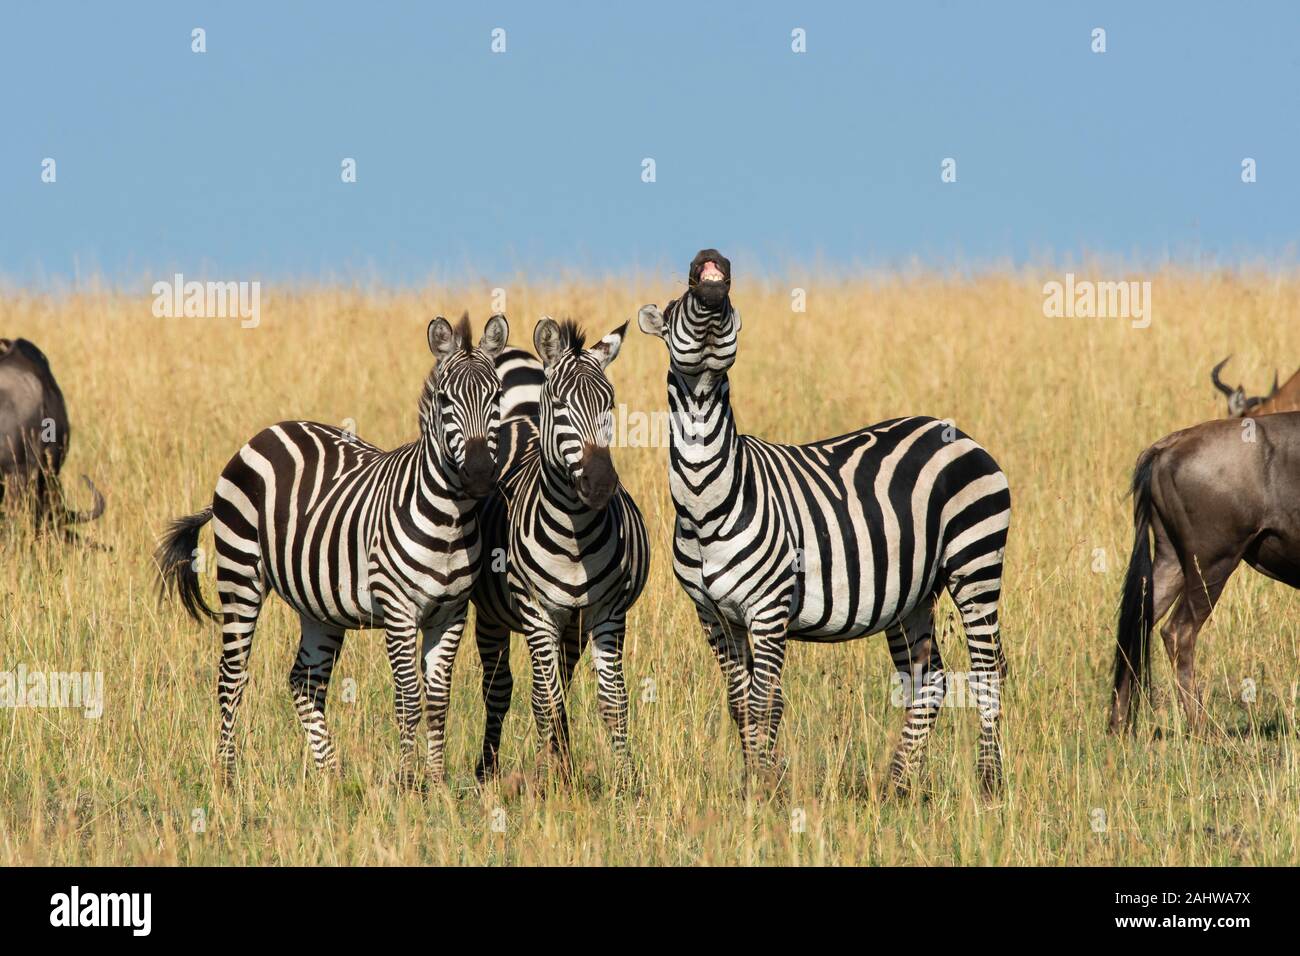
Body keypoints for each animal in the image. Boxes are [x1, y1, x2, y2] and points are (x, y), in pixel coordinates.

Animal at [155, 314, 517, 788]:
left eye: (496, 397)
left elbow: (439, 701)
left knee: (304, 681)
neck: (449, 520)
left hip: (318, 604)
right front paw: (408, 783)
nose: (478, 476)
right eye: (444, 400)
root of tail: (268, 431)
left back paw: (330, 775)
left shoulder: (451, 613)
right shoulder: (398, 611)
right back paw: (229, 776)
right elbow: (409, 699)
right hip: (240, 575)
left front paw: (436, 783)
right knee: (231, 676)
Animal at [470, 318, 650, 785]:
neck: (574, 538)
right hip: (495, 616)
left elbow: (613, 700)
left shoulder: (608, 611)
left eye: (609, 405)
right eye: (561, 405)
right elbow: (542, 699)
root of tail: (521, 419)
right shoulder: (537, 611)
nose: (600, 485)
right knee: (499, 687)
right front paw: (547, 780)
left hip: (573, 625)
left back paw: (562, 761)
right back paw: (489, 768)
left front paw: (625, 781)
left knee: (562, 683)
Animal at [637, 250, 1012, 796]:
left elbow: (763, 702)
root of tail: (955, 432)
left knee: (986, 672)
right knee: (930, 679)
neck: (707, 502)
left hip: (976, 563)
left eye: (728, 304)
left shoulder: (768, 608)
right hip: (914, 593)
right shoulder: (714, 616)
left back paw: (988, 783)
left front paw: (763, 789)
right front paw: (755, 779)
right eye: (674, 307)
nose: (710, 260)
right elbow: (739, 704)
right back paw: (897, 786)